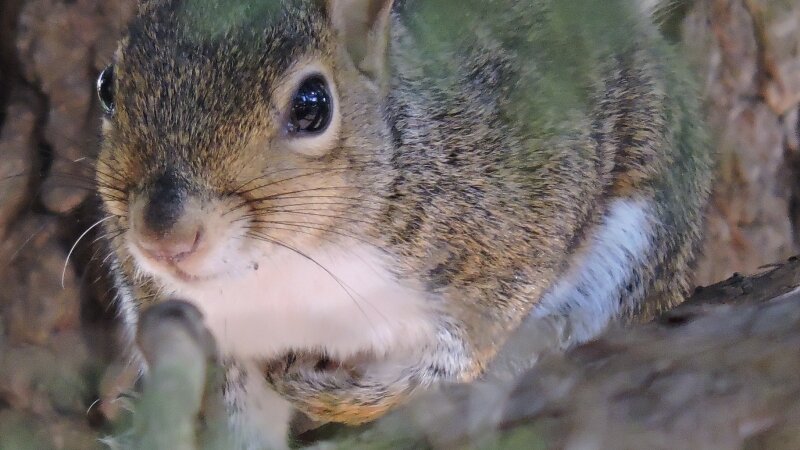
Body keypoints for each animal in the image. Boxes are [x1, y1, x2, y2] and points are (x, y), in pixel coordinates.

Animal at [94, 0, 712, 446]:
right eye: (106, 86)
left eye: (312, 104)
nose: (165, 237)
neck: (286, 262)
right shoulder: (213, 333)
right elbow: (239, 421)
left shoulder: (518, 218)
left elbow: (457, 353)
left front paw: (332, 393)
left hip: (637, 237)